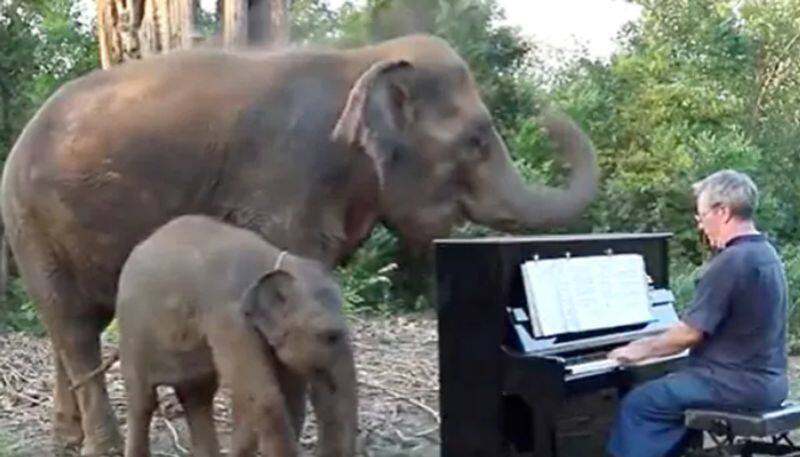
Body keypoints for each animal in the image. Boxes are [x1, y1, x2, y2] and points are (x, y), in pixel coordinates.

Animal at [115, 215, 356, 456]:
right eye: (330, 336)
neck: (271, 261)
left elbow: (286, 400)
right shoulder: (229, 318)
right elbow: (263, 398)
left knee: (198, 397)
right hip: (132, 333)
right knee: (143, 401)